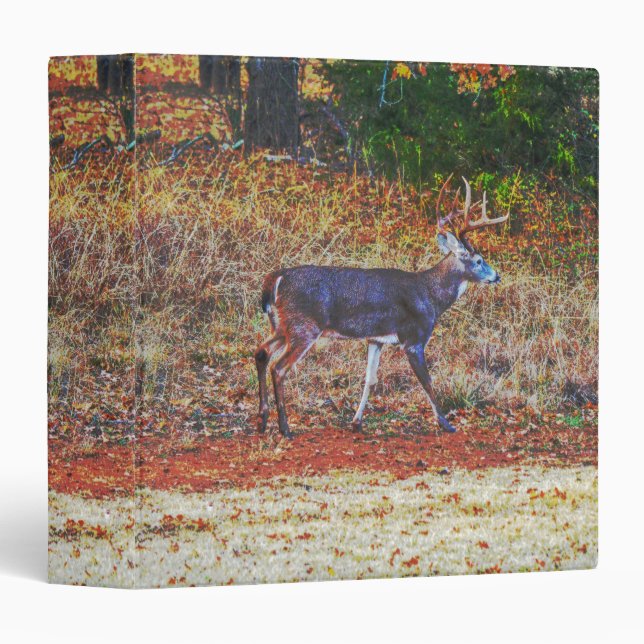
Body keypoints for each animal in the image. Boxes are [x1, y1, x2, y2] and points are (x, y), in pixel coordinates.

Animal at [254, 176, 510, 438]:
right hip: (304, 326)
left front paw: (357, 422)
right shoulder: (414, 338)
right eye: (478, 260)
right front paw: (445, 423)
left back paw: (263, 420)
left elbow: (370, 379)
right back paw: (285, 427)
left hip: (281, 325)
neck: (431, 296)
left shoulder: (376, 339)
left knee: (261, 352)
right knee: (279, 368)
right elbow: (427, 382)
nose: (496, 276)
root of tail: (276, 279)